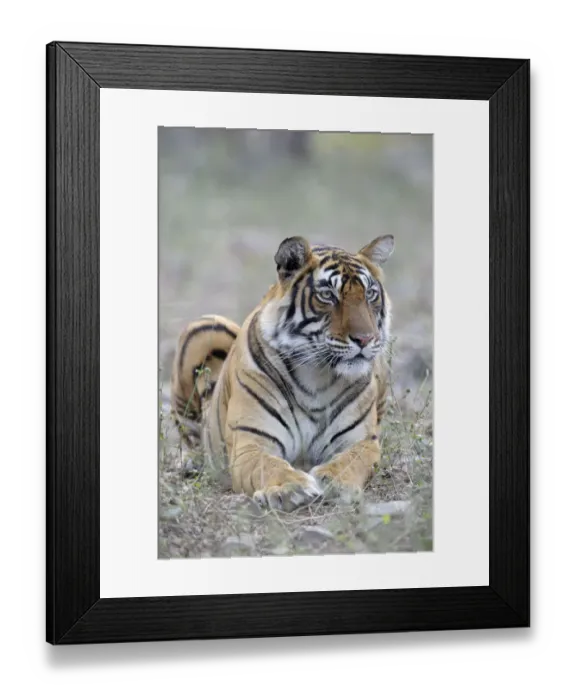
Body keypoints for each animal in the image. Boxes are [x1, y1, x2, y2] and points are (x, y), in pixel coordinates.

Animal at [170, 234, 395, 512]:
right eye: (327, 295)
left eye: (370, 294)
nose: (365, 339)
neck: (318, 375)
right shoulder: (251, 443)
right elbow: (268, 465)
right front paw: (291, 488)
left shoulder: (362, 441)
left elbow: (352, 461)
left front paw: (336, 482)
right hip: (204, 327)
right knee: (189, 435)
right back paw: (190, 463)